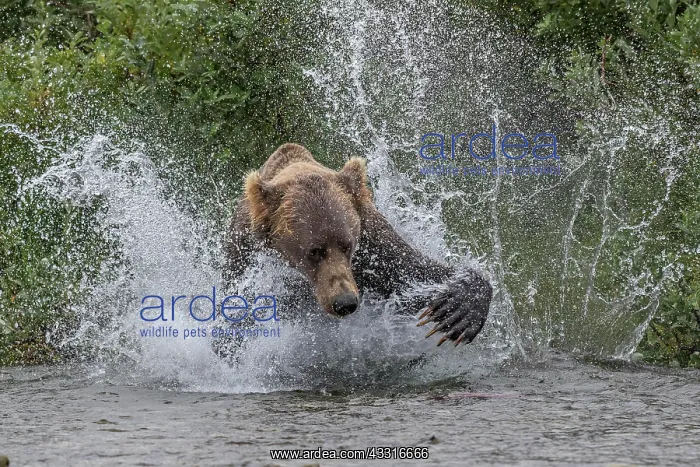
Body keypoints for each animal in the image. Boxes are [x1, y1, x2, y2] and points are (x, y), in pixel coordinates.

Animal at [224, 143, 492, 346]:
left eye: (347, 245)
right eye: (314, 251)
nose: (345, 303)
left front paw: (457, 311)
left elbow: (412, 275)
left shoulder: (372, 243)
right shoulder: (244, 253)